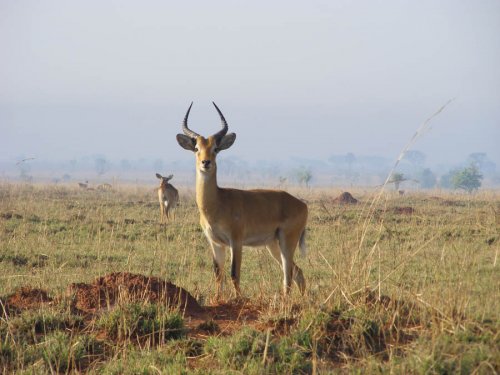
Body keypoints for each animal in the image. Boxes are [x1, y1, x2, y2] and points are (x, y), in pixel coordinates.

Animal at [176, 101, 308, 298]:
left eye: (215, 149)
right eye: (197, 149)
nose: (206, 163)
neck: (218, 202)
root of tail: (302, 204)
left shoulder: (236, 241)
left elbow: (234, 273)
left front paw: (238, 299)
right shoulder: (215, 243)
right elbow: (218, 274)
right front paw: (218, 299)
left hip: (287, 242)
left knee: (288, 275)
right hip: (273, 245)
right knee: (297, 272)